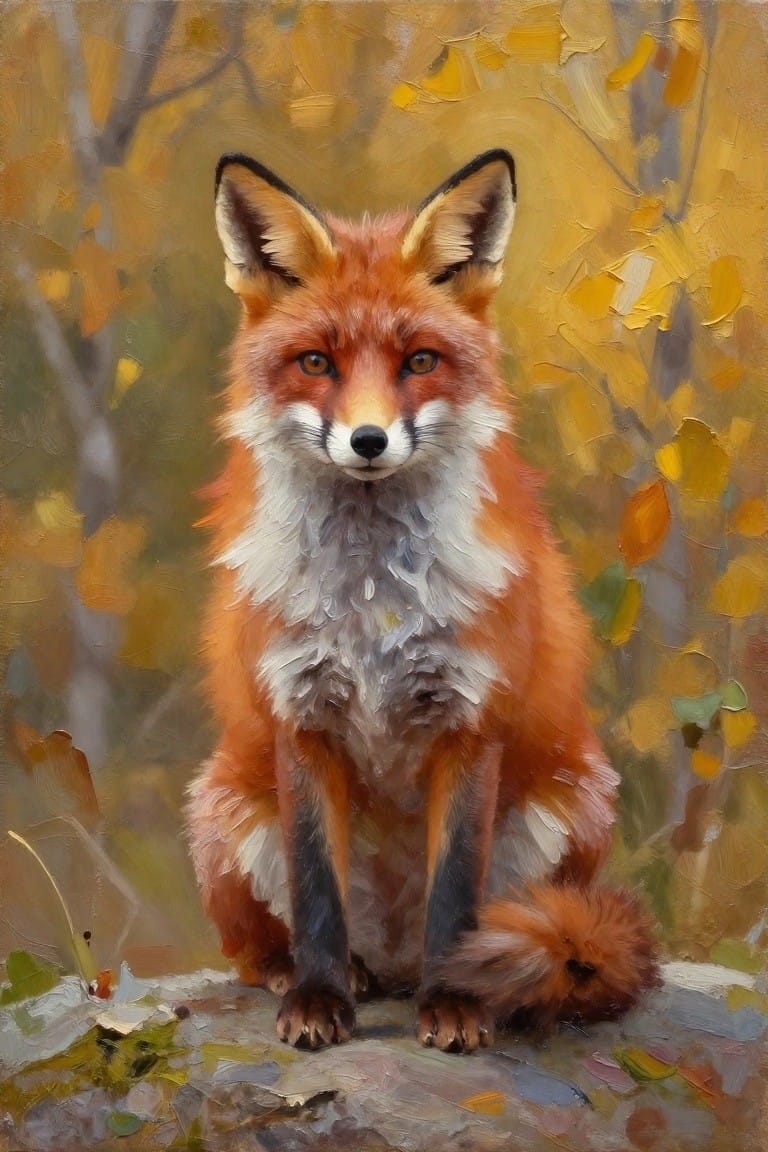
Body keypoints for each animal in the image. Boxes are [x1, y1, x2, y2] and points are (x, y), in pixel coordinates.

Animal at [186, 149, 659, 1054]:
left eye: (419, 361)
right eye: (316, 363)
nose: (368, 441)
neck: (373, 603)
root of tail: (392, 958)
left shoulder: (469, 720)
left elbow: (455, 895)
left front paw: (458, 1002)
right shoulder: (302, 716)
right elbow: (316, 889)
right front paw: (319, 1000)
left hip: (573, 802)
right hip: (224, 808)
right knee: (263, 945)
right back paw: (313, 974)